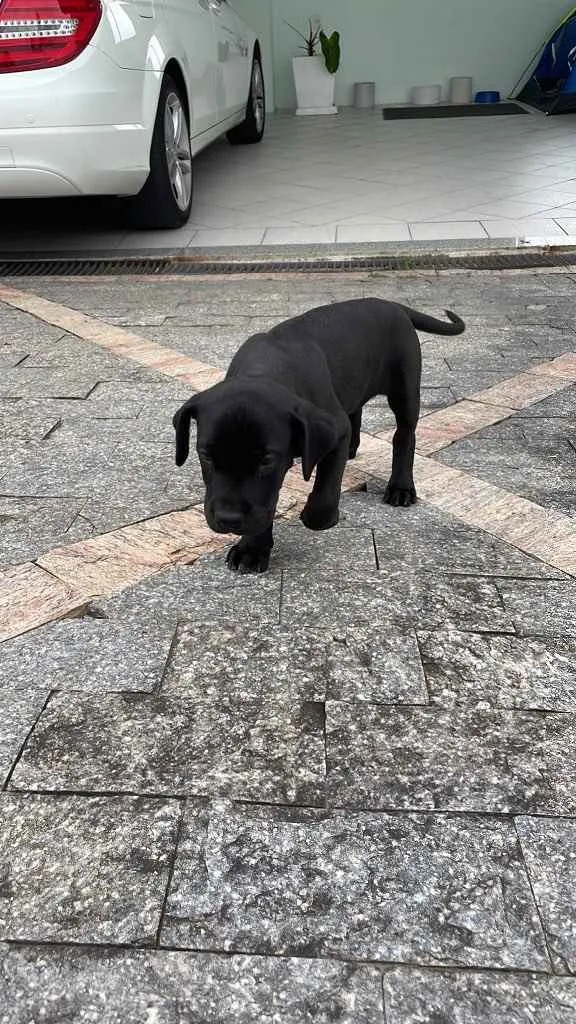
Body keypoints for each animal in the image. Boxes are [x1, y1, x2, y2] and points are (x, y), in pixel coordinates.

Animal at [172, 296, 463, 573]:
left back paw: (401, 487)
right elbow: (265, 507)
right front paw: (252, 550)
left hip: (405, 386)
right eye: (206, 456)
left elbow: (325, 490)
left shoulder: (334, 430)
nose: (228, 518)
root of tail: (392, 304)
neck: (266, 368)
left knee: (404, 435)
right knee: (356, 409)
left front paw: (319, 516)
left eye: (267, 460)